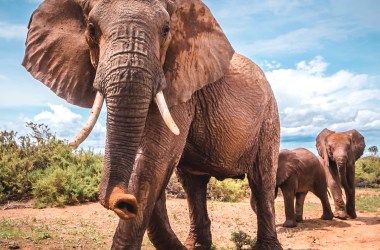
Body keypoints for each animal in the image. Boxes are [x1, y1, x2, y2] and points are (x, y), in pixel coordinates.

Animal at [21, 0, 282, 249]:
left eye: (166, 30)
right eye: (91, 28)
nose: (125, 203)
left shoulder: (180, 84)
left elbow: (155, 160)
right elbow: (155, 167)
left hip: (269, 118)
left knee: (262, 180)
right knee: (193, 185)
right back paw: (196, 245)